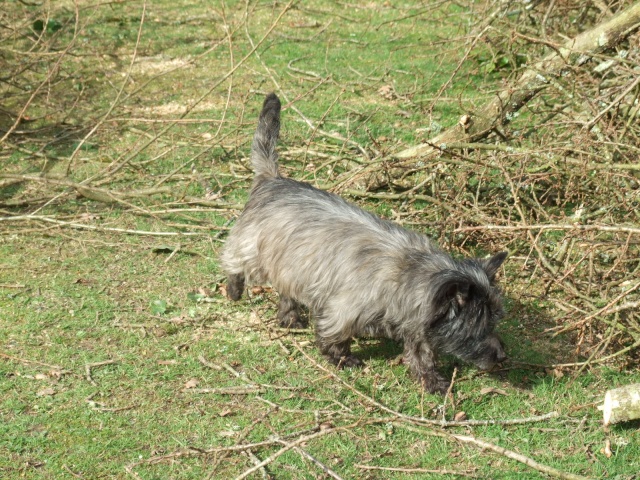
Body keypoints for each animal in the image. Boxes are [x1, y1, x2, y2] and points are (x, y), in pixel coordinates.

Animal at [222, 94, 508, 394]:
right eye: (479, 327)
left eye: (495, 320)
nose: (502, 356)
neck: (410, 274)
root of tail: (272, 180)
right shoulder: (344, 310)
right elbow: (334, 336)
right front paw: (342, 359)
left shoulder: (417, 322)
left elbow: (421, 352)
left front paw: (430, 379)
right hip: (251, 248)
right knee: (233, 263)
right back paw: (234, 290)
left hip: (292, 264)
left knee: (286, 290)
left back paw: (289, 317)